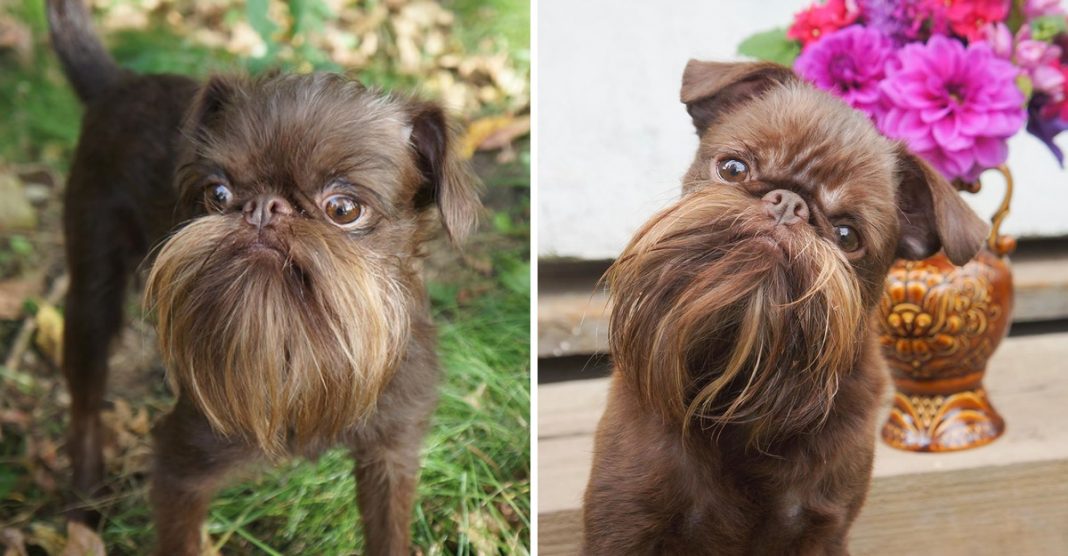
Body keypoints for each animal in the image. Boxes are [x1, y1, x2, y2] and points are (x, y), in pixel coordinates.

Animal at [46, 0, 480, 550]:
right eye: (218, 194)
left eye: (343, 208)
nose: (263, 208)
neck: (304, 349)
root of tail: (119, 83)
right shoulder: (180, 470)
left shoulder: (391, 454)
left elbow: (388, 536)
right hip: (90, 288)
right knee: (85, 399)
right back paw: (84, 507)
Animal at [580, 58, 986, 550]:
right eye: (733, 169)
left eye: (847, 235)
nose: (789, 204)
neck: (737, 381)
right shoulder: (624, 519)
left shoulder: (820, 530)